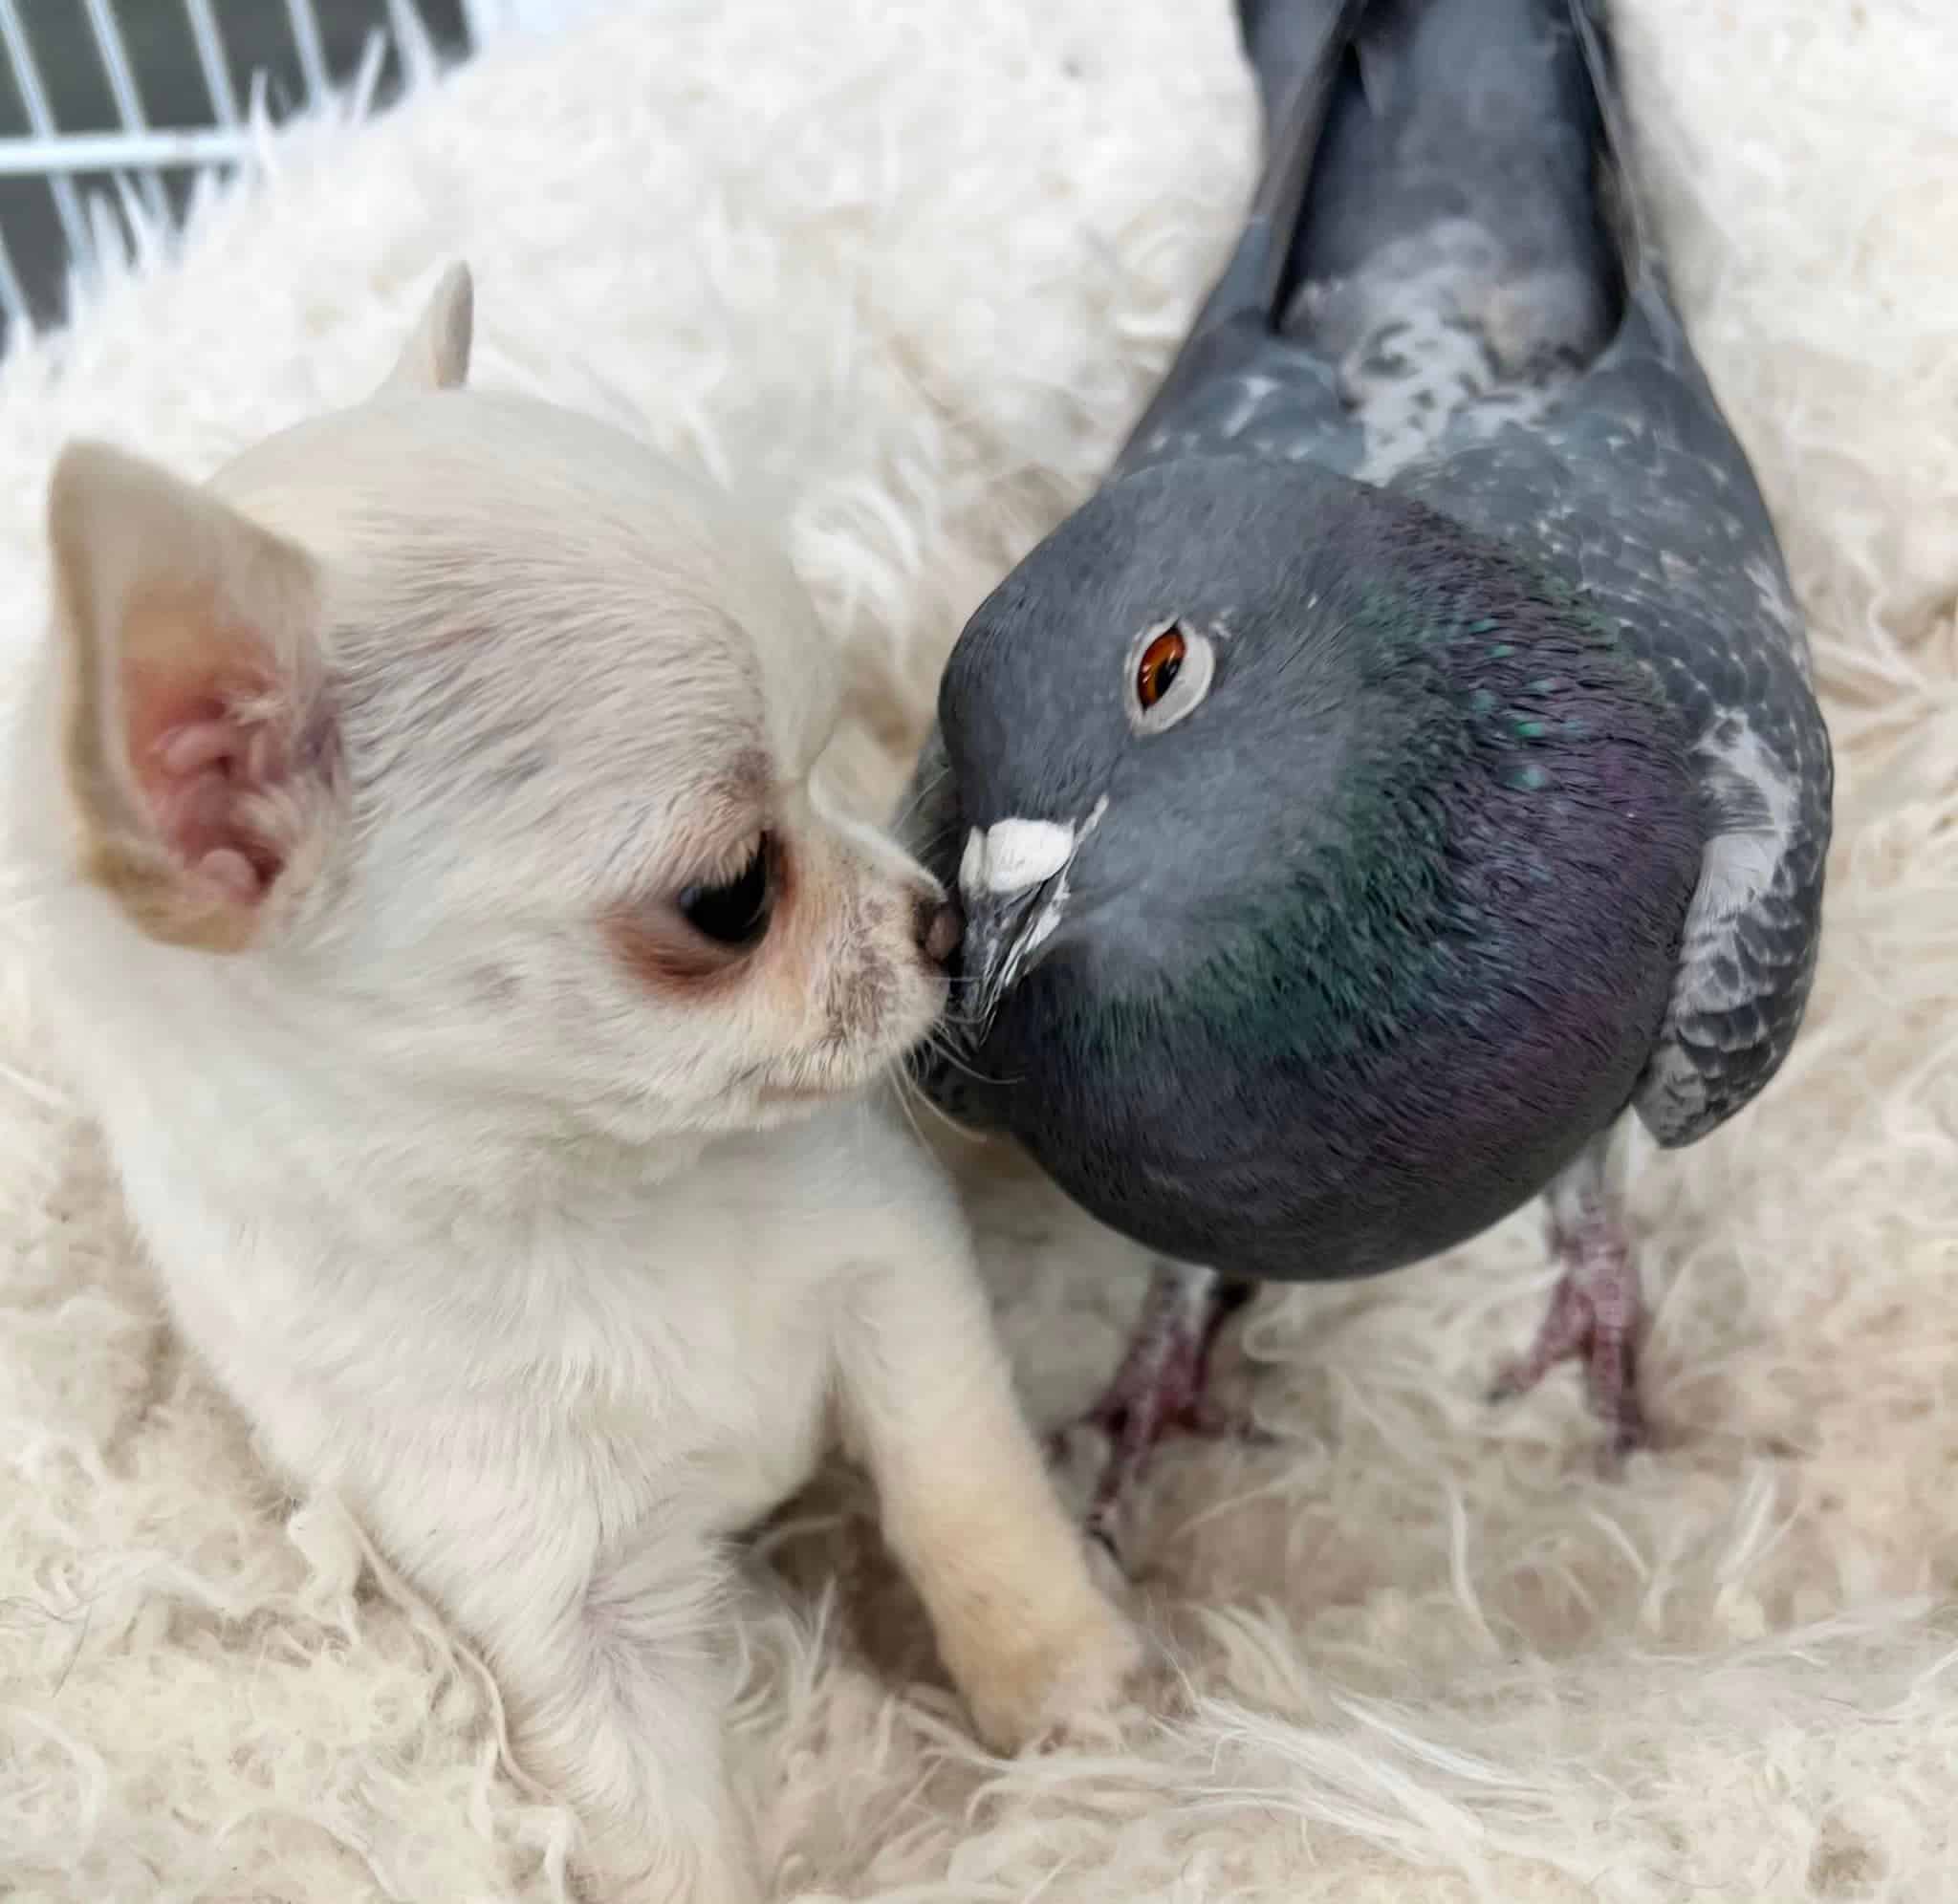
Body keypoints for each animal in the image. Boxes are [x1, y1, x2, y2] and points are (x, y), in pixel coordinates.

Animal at [11, 268, 1135, 1901]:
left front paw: (1066, 1697)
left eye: (819, 790)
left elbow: (964, 1495)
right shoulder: (558, 1618)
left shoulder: (894, 1274)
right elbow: (665, 1842)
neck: (582, 1206)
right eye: (730, 898)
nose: (937, 920)